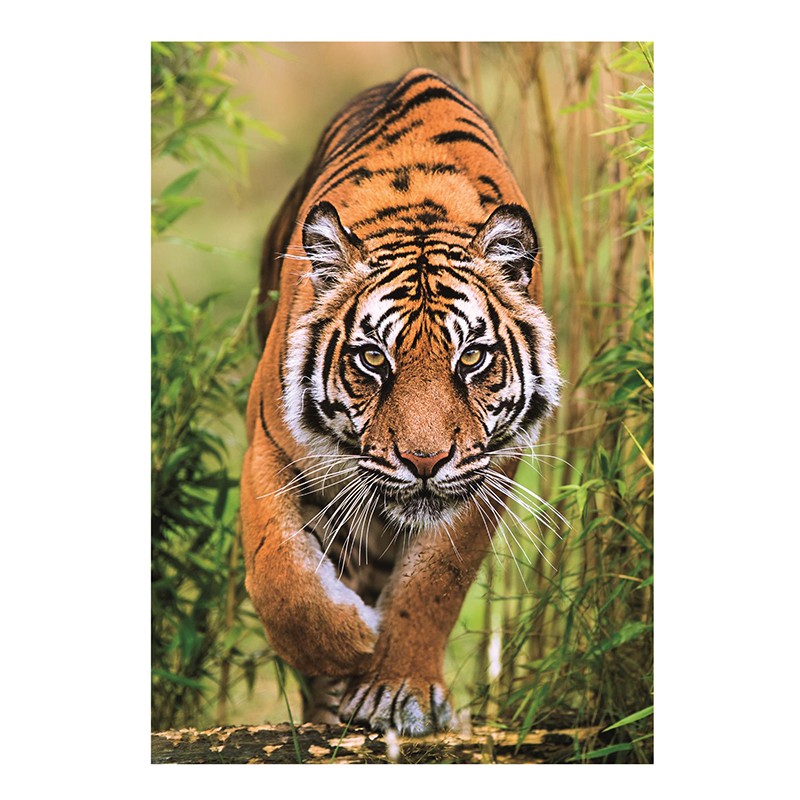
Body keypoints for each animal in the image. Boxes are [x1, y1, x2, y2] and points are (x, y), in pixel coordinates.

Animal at [240, 67, 561, 736]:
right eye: (372, 359)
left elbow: (434, 582)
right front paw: (346, 644)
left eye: (472, 358)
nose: (423, 461)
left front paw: (396, 690)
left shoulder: (488, 469)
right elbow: (280, 572)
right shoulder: (268, 447)